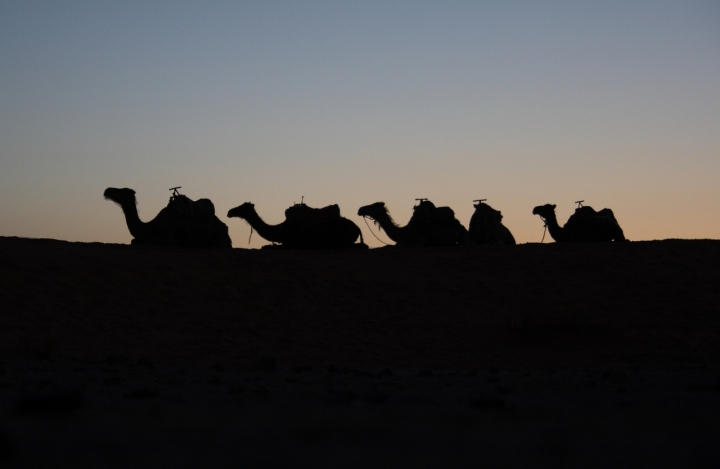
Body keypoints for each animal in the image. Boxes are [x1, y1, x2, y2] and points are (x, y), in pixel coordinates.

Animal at [104, 186, 232, 247]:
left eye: (121, 191)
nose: (107, 190)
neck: (151, 227)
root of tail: (224, 225)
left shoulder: (168, 238)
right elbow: (133, 241)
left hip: (221, 235)